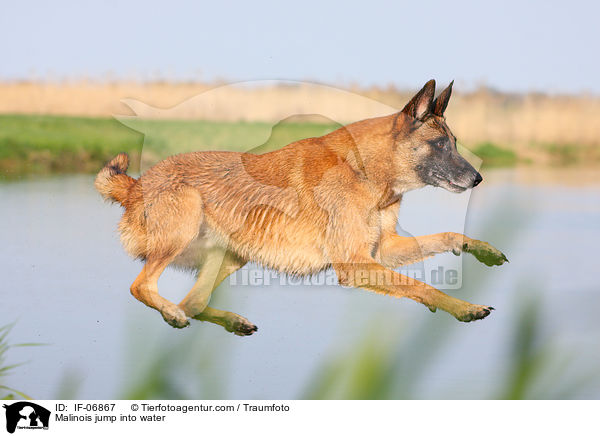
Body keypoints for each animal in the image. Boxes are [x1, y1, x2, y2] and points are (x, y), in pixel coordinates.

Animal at [96, 80, 508, 336]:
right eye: (439, 144)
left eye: (454, 142)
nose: (478, 179)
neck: (365, 171)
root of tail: (136, 185)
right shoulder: (356, 264)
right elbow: (421, 286)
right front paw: (463, 307)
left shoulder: (383, 251)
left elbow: (449, 235)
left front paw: (483, 250)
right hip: (183, 226)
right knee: (142, 287)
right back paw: (171, 313)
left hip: (231, 257)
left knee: (193, 302)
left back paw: (227, 321)